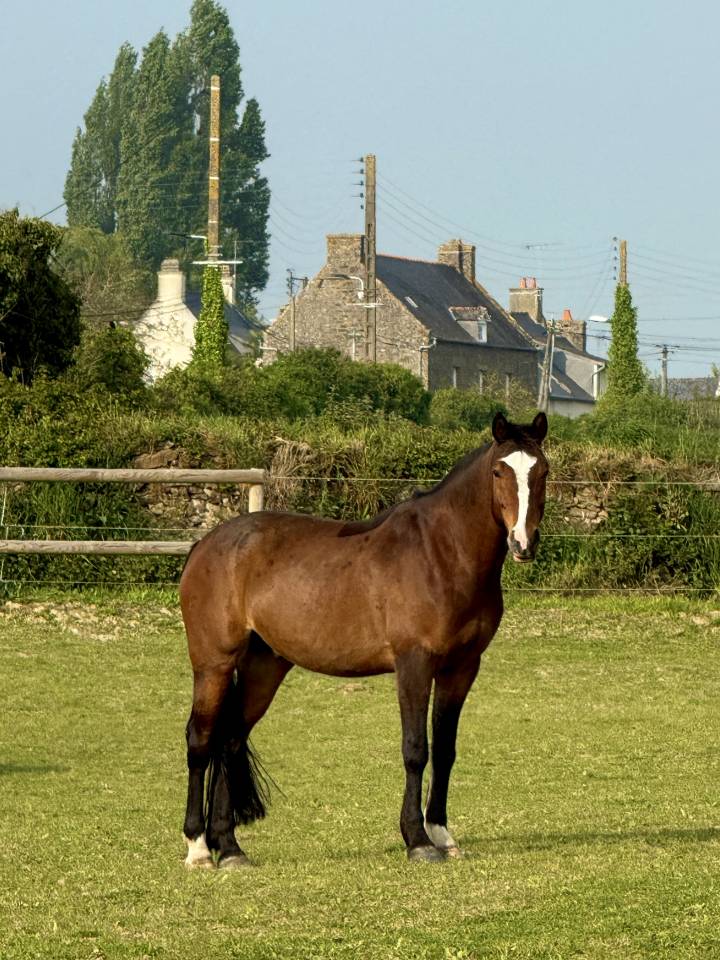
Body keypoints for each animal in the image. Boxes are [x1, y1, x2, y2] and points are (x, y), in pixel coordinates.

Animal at [180, 410, 549, 868]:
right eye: (499, 471)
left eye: (543, 471)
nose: (523, 542)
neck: (442, 553)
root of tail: (205, 545)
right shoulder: (414, 663)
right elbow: (416, 749)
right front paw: (418, 840)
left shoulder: (462, 667)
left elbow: (445, 749)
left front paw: (442, 834)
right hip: (213, 663)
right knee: (201, 740)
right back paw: (198, 847)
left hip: (263, 666)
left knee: (230, 740)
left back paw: (229, 847)